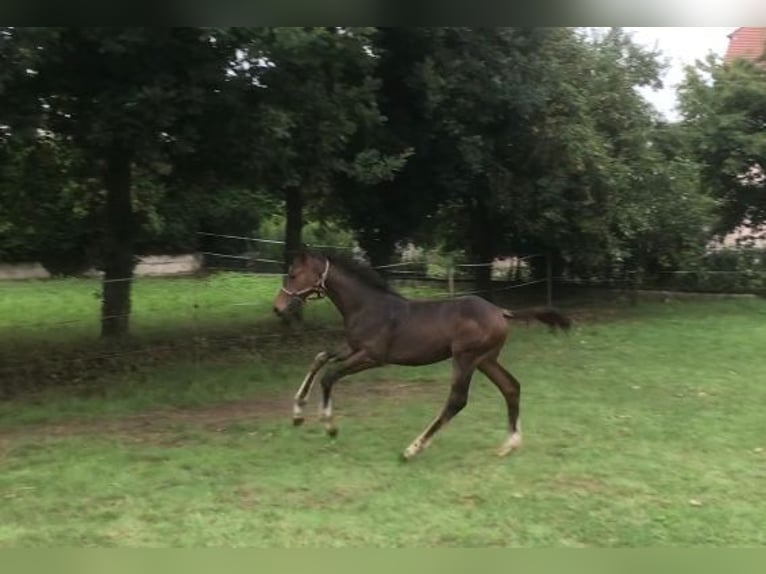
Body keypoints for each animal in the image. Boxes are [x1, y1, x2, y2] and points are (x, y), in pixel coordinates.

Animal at [273, 251, 571, 461]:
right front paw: (297, 414)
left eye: (294, 274)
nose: (277, 307)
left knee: (457, 400)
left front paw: (329, 426)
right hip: (486, 360)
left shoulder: (372, 357)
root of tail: (501, 312)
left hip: (465, 358)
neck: (367, 306)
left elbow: (330, 375)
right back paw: (509, 445)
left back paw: (411, 450)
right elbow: (320, 357)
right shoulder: (353, 347)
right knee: (511, 387)